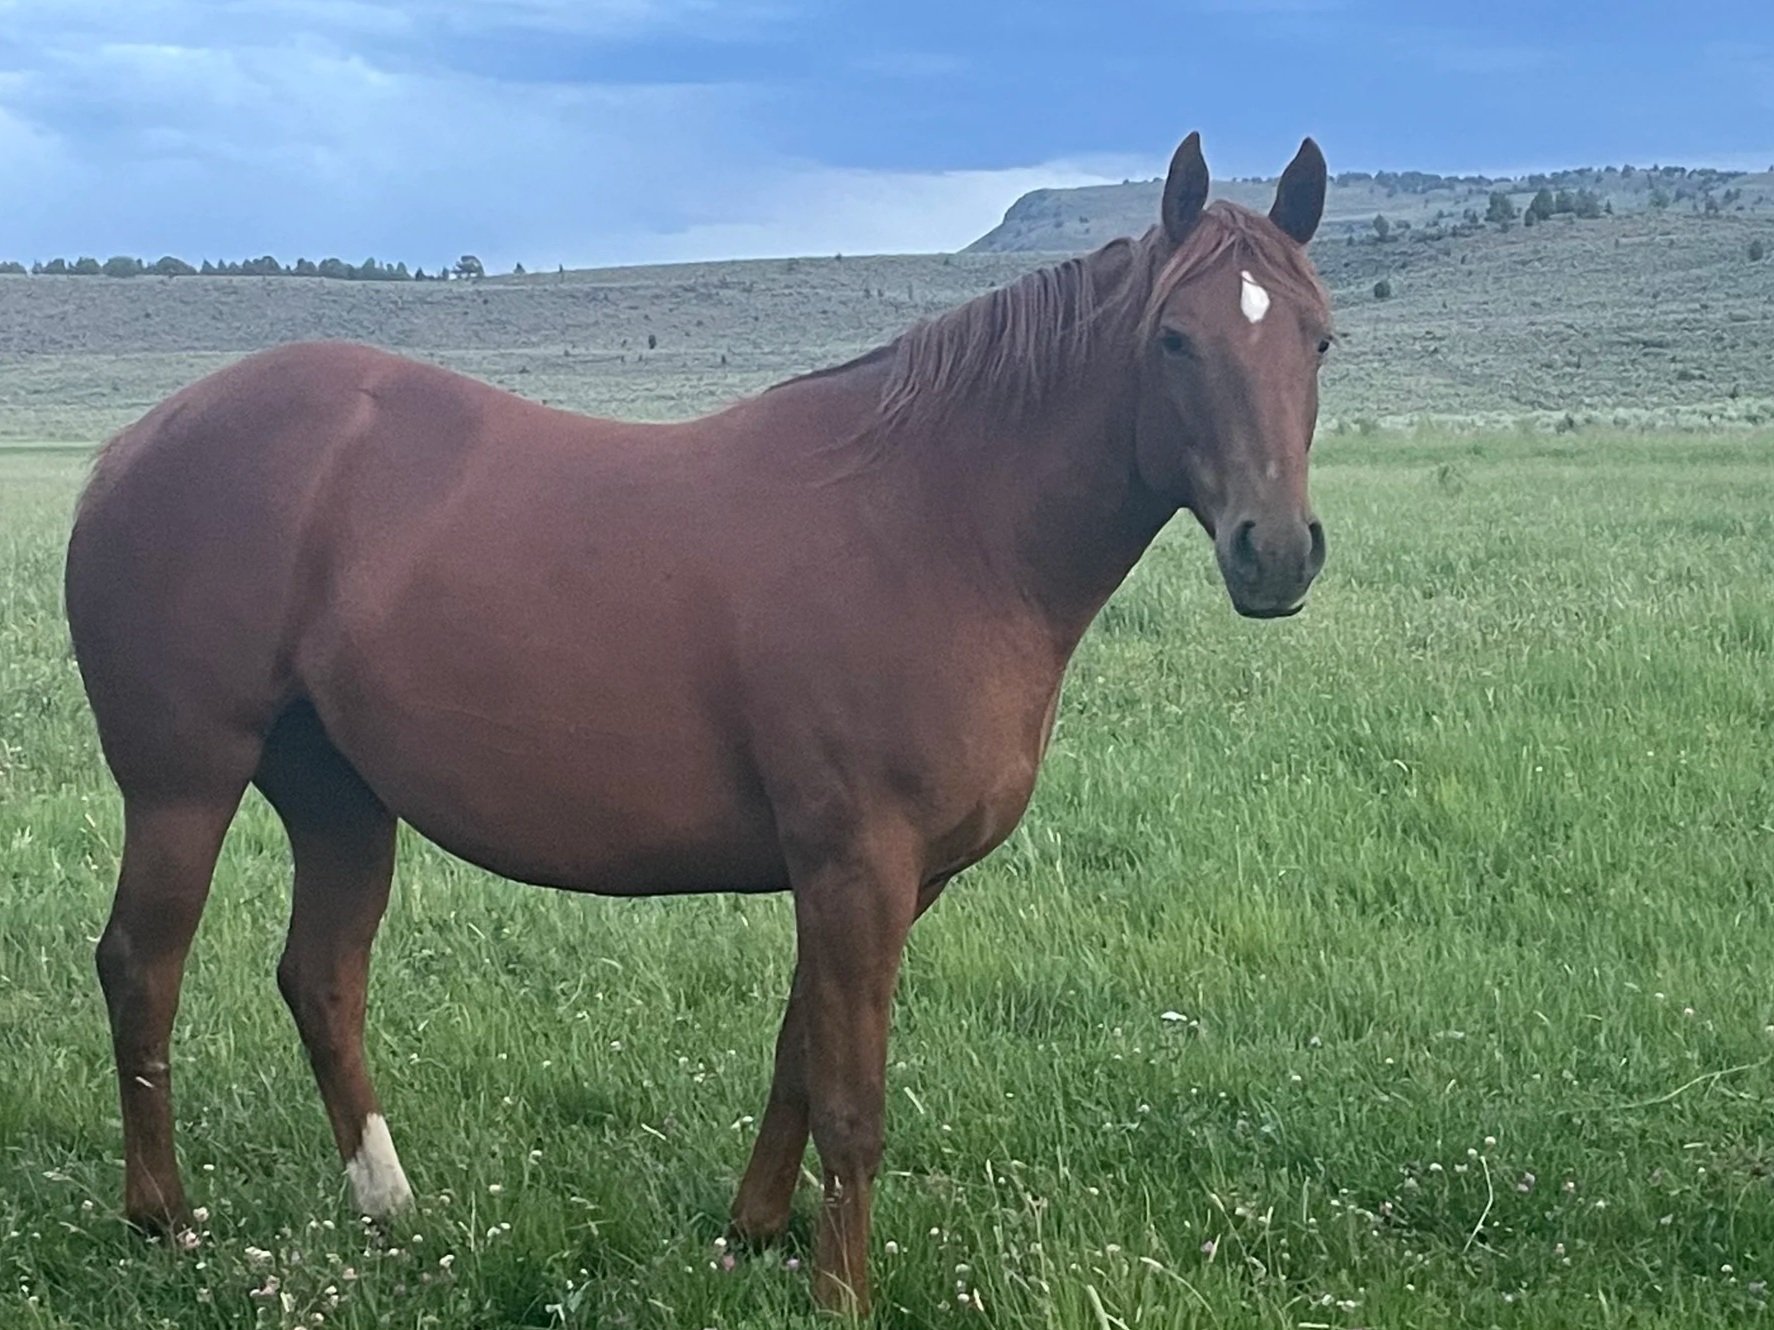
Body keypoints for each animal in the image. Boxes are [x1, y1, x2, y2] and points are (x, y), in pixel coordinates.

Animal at [65, 131, 1332, 1315]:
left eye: (1316, 339)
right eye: (1175, 340)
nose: (1273, 551)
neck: (937, 523)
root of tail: (132, 446)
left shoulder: (874, 877)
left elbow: (798, 1057)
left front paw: (753, 1233)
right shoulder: (858, 864)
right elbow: (853, 1097)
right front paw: (839, 1290)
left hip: (338, 796)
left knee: (322, 977)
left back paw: (387, 1202)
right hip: (184, 786)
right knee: (142, 968)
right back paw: (163, 1215)